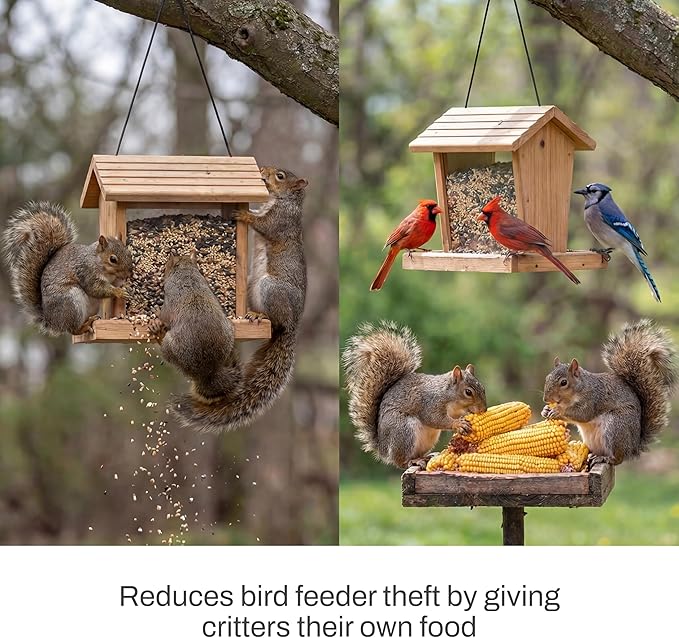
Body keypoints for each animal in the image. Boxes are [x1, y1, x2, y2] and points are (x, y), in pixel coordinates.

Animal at [2, 201, 133, 335]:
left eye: (128, 252)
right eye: (113, 259)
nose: (129, 273)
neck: (97, 261)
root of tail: (51, 321)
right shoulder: (87, 272)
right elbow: (96, 288)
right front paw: (119, 292)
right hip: (71, 302)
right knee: (73, 330)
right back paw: (85, 326)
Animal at [166, 166, 308, 431]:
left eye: (280, 176)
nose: (262, 170)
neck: (283, 200)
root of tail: (293, 325)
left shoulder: (282, 220)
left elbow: (265, 224)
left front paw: (243, 213)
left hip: (270, 289)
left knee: (276, 321)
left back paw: (259, 316)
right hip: (252, 284)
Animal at [342, 321, 487, 468]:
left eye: (483, 388)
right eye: (468, 392)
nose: (483, 410)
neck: (450, 397)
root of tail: (383, 449)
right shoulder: (431, 403)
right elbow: (435, 419)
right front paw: (458, 424)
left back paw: (425, 457)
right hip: (404, 430)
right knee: (402, 461)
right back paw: (413, 461)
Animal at [542, 319, 676, 465]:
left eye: (563, 382)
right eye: (547, 377)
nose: (546, 399)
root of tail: (633, 448)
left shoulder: (593, 399)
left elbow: (582, 414)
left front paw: (558, 412)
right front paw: (545, 410)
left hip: (616, 426)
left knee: (617, 458)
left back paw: (605, 458)